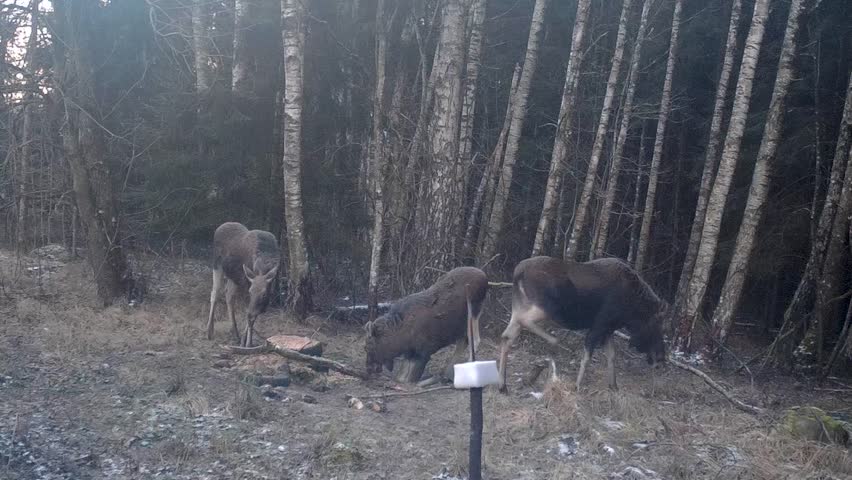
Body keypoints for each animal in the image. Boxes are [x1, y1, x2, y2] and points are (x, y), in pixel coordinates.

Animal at [498, 256, 666, 393]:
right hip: (546, 307)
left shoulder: (608, 329)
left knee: (507, 335)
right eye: (657, 326)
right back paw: (553, 342)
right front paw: (577, 386)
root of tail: (518, 272)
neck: (633, 311)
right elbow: (587, 357)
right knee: (522, 323)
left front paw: (614, 386)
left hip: (520, 305)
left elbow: (611, 356)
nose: (660, 359)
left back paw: (503, 385)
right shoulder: (600, 325)